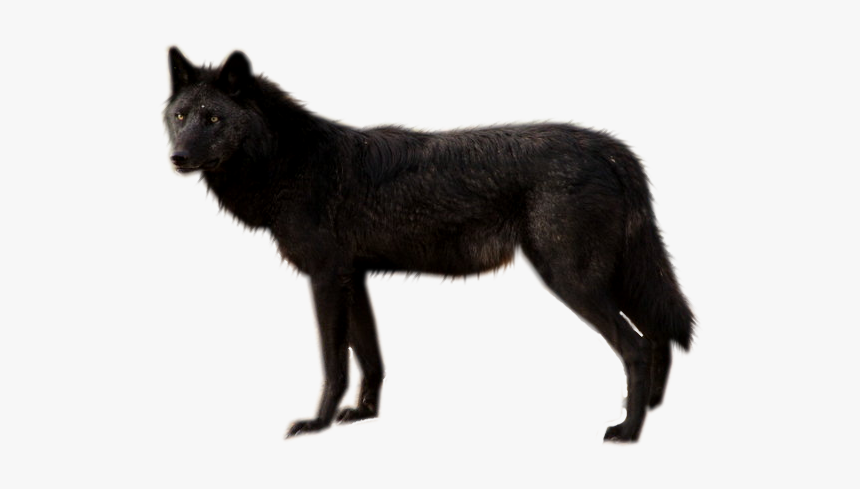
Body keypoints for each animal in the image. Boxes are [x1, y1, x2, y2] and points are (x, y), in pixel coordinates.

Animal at [164, 47, 694, 442]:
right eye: (181, 115)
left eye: (213, 118)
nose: (177, 157)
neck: (289, 163)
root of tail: (609, 148)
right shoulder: (352, 277)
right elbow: (370, 358)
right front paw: (363, 415)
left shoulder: (326, 278)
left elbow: (335, 363)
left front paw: (316, 424)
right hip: (612, 279)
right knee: (658, 335)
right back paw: (645, 411)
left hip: (573, 281)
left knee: (637, 346)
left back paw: (627, 431)